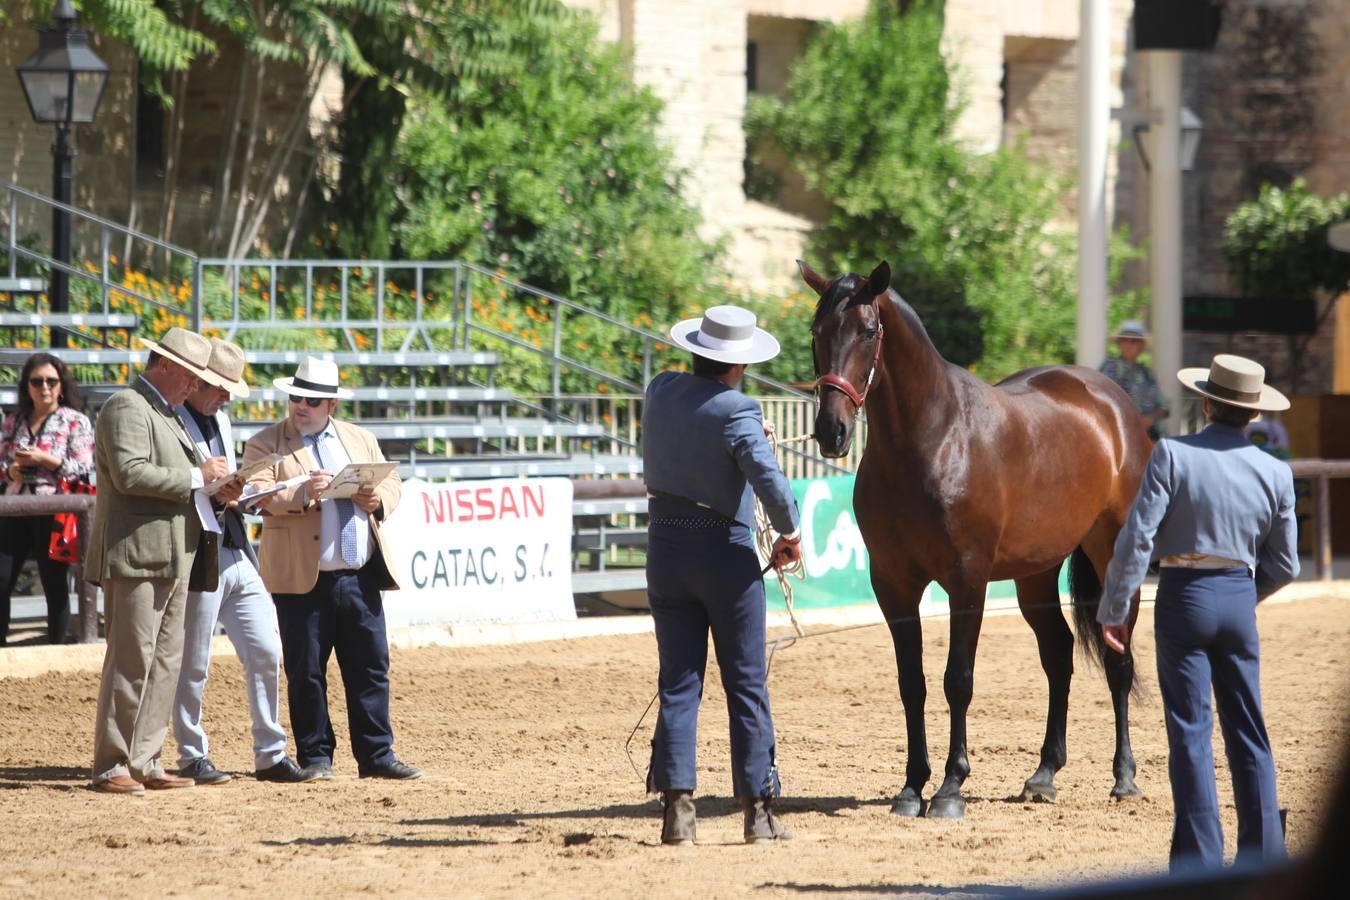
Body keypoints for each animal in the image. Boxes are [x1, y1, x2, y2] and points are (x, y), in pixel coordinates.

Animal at [799, 261, 1150, 825]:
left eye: (869, 331)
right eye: (816, 331)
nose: (831, 432)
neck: (931, 439)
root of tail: (1113, 404)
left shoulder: (968, 581)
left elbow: (956, 680)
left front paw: (949, 789)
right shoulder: (893, 584)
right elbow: (912, 683)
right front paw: (910, 788)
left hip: (1113, 555)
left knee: (1118, 661)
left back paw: (1124, 778)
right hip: (1034, 575)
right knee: (1059, 655)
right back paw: (1043, 775)